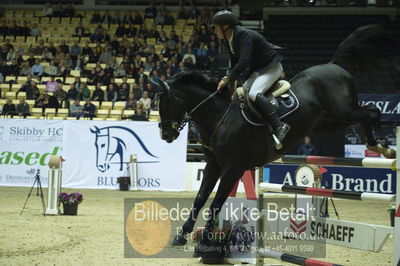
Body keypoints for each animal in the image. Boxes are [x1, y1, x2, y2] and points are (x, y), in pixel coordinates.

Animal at [155, 25, 398, 247]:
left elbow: (216, 201)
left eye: (166, 103)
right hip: (330, 123)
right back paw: (378, 145)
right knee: (367, 113)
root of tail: (334, 65)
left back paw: (383, 146)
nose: (166, 134)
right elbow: (200, 198)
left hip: (344, 111)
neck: (219, 117)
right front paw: (182, 235)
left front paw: (206, 238)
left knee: (371, 113)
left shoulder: (233, 168)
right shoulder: (214, 166)